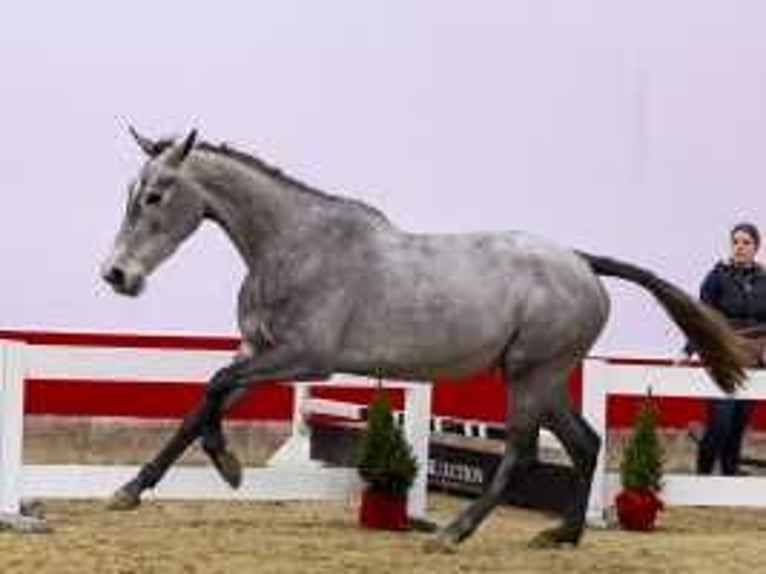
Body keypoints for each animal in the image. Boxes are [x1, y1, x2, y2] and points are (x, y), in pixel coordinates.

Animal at [99, 128, 748, 552]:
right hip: (542, 377)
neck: (295, 246)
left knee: (521, 451)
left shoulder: (304, 360)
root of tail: (583, 263)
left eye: (154, 195)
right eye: (129, 193)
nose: (116, 276)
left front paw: (229, 466)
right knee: (585, 444)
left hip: (530, 375)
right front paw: (130, 490)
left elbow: (213, 387)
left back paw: (455, 534)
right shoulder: (260, 353)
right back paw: (562, 535)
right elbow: (199, 406)